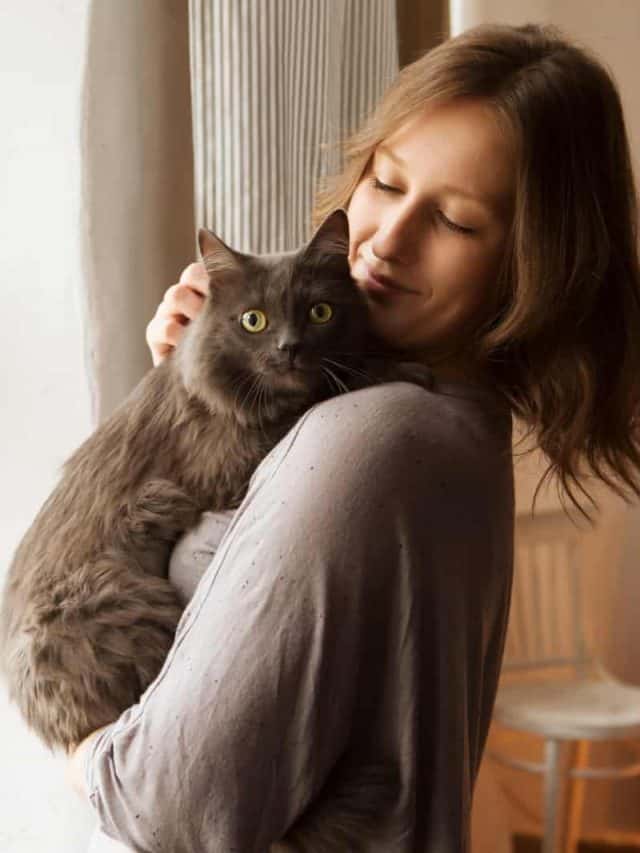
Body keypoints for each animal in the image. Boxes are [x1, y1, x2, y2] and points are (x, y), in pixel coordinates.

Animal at [0, 210, 436, 756]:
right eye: (254, 320)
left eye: (320, 312)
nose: (289, 349)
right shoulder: (230, 457)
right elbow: (322, 393)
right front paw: (406, 368)